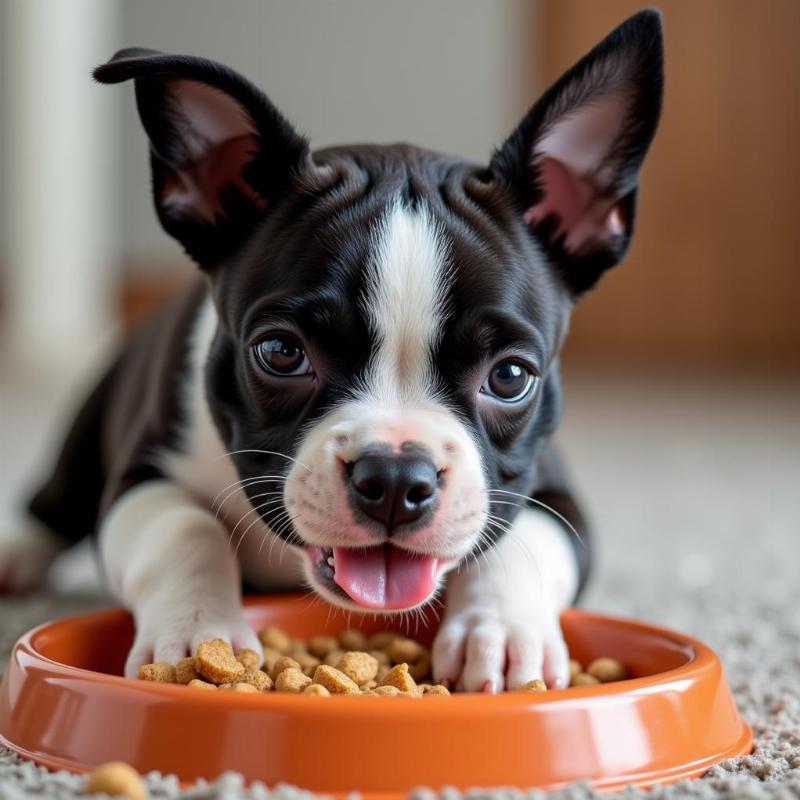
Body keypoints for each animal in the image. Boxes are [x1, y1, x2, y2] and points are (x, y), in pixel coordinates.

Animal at [0, 9, 664, 692]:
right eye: (280, 354)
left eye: (509, 377)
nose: (396, 478)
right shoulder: (142, 475)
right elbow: (186, 527)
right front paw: (198, 633)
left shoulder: (553, 495)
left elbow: (519, 543)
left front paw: (500, 634)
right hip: (90, 423)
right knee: (57, 496)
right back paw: (18, 553)